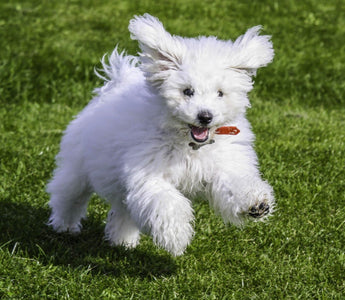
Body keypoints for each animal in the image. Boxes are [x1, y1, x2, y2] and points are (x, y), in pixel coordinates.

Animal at [47, 13, 274, 255]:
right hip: (77, 168)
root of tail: (115, 83)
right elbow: (166, 203)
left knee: (124, 210)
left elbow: (235, 183)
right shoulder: (148, 173)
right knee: (68, 194)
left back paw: (123, 241)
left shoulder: (223, 165)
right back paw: (65, 225)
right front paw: (177, 236)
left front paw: (256, 204)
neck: (189, 144)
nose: (205, 116)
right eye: (187, 91)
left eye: (220, 93)